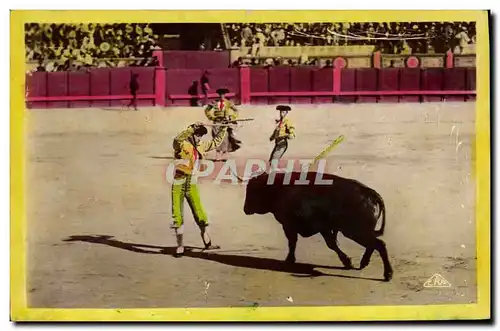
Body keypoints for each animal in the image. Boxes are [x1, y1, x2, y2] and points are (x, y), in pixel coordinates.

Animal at [236, 171, 392, 282]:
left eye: (252, 191)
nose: (245, 209)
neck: (277, 188)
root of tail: (369, 192)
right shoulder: (323, 229)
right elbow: (331, 244)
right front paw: (347, 262)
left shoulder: (290, 226)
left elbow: (294, 243)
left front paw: (289, 260)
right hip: (358, 232)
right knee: (373, 244)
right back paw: (364, 263)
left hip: (355, 231)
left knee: (379, 244)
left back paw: (387, 274)